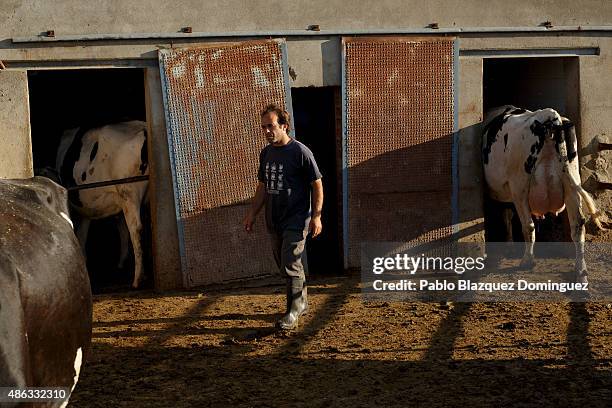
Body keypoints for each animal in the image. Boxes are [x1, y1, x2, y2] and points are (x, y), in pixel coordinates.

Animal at [482, 107, 604, 282]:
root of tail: (549, 116)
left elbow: (506, 217)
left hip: (520, 186)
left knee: (528, 225)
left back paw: (527, 261)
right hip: (571, 183)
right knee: (578, 225)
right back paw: (581, 272)